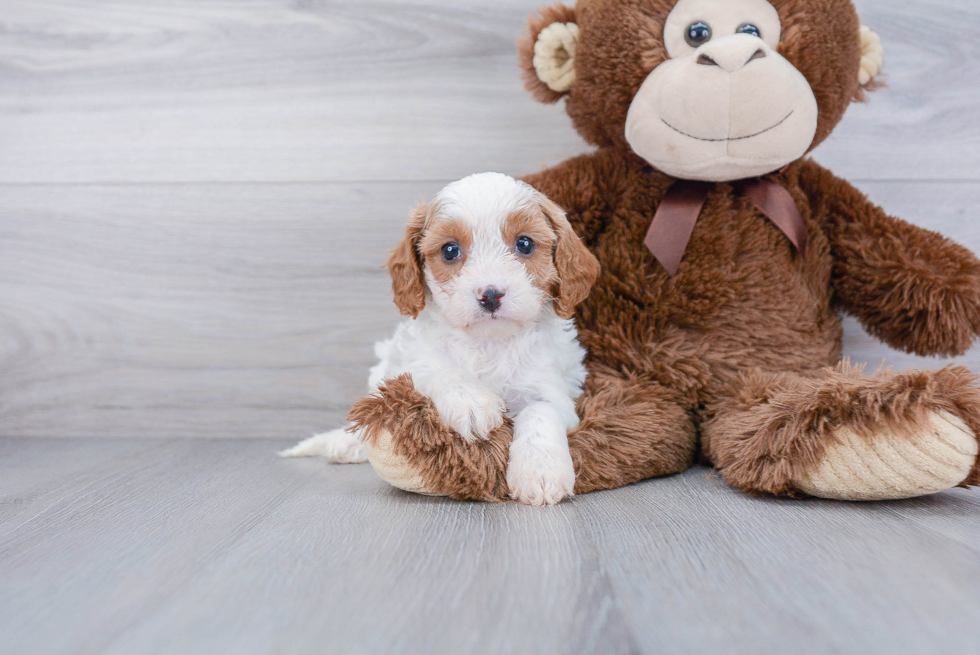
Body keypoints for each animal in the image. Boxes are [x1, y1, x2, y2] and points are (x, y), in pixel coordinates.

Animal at [280, 173, 600, 508]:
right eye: (450, 250)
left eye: (525, 244)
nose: (490, 295)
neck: (489, 342)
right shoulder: (412, 364)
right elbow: (440, 372)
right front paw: (471, 404)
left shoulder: (553, 389)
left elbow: (542, 412)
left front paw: (540, 472)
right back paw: (348, 442)